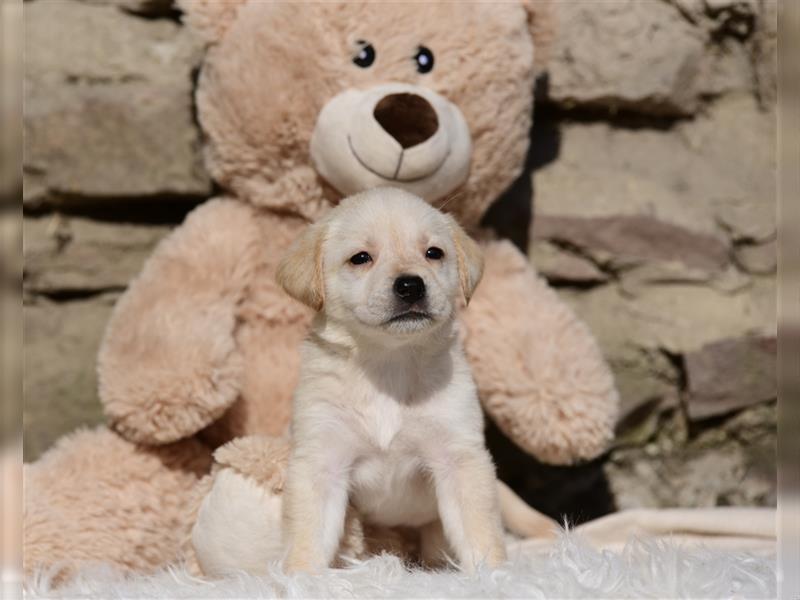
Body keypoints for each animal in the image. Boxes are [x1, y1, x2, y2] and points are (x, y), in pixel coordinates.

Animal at [278, 188, 506, 572]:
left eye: (433, 253)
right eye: (360, 258)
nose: (411, 285)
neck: (389, 364)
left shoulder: (459, 457)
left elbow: (479, 531)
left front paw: (494, 575)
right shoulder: (321, 460)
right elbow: (308, 536)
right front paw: (298, 577)